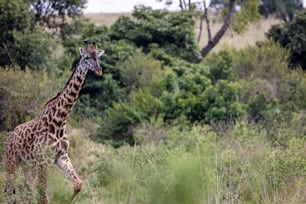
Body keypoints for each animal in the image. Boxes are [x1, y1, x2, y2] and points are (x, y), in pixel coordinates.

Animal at [2, 40, 105, 204]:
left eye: (98, 57)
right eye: (86, 58)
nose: (99, 71)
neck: (59, 121)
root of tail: (8, 139)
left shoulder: (61, 156)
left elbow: (78, 184)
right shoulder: (43, 161)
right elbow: (43, 196)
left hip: (27, 165)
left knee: (23, 189)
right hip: (11, 162)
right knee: (10, 190)